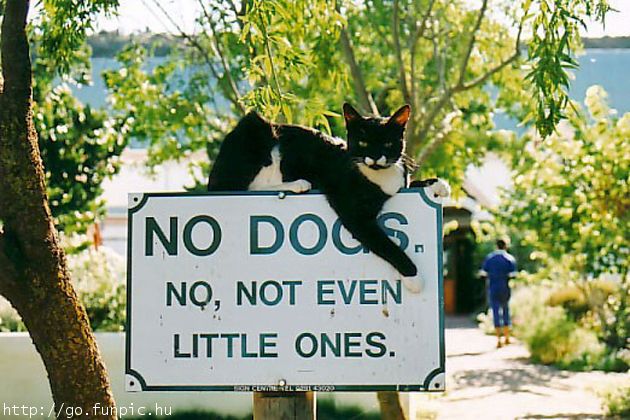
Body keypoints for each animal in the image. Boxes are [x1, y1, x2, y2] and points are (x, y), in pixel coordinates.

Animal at [207, 103, 450, 292]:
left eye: (388, 143)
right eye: (363, 142)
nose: (374, 157)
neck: (379, 176)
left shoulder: (400, 184)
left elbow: (410, 184)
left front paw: (436, 184)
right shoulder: (353, 212)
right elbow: (385, 244)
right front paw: (413, 277)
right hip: (254, 128)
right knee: (235, 188)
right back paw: (296, 184)